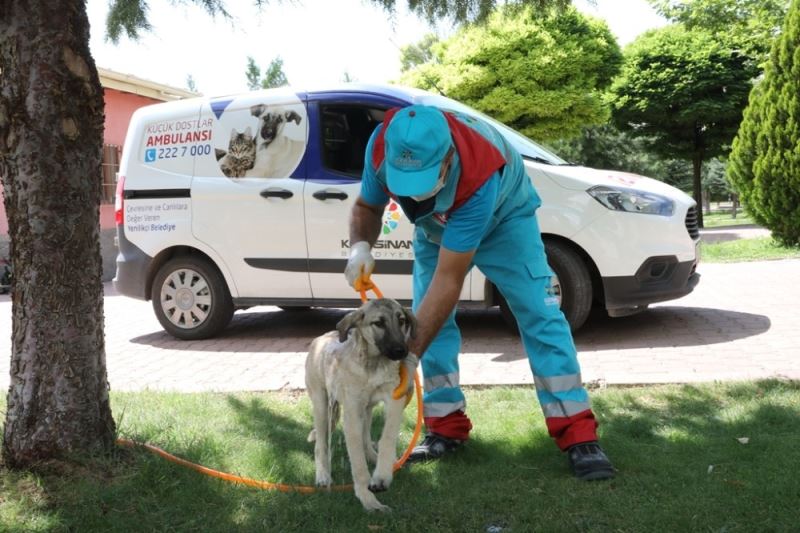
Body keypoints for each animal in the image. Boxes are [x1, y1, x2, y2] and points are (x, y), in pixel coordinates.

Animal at [305, 298, 418, 512]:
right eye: (379, 323)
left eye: (401, 321)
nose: (402, 351)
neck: (373, 366)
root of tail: (321, 337)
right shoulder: (351, 416)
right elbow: (357, 463)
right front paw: (367, 498)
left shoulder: (394, 400)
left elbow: (387, 437)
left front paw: (381, 475)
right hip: (322, 405)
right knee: (321, 445)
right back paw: (323, 475)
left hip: (367, 410)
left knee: (366, 439)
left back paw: (373, 456)